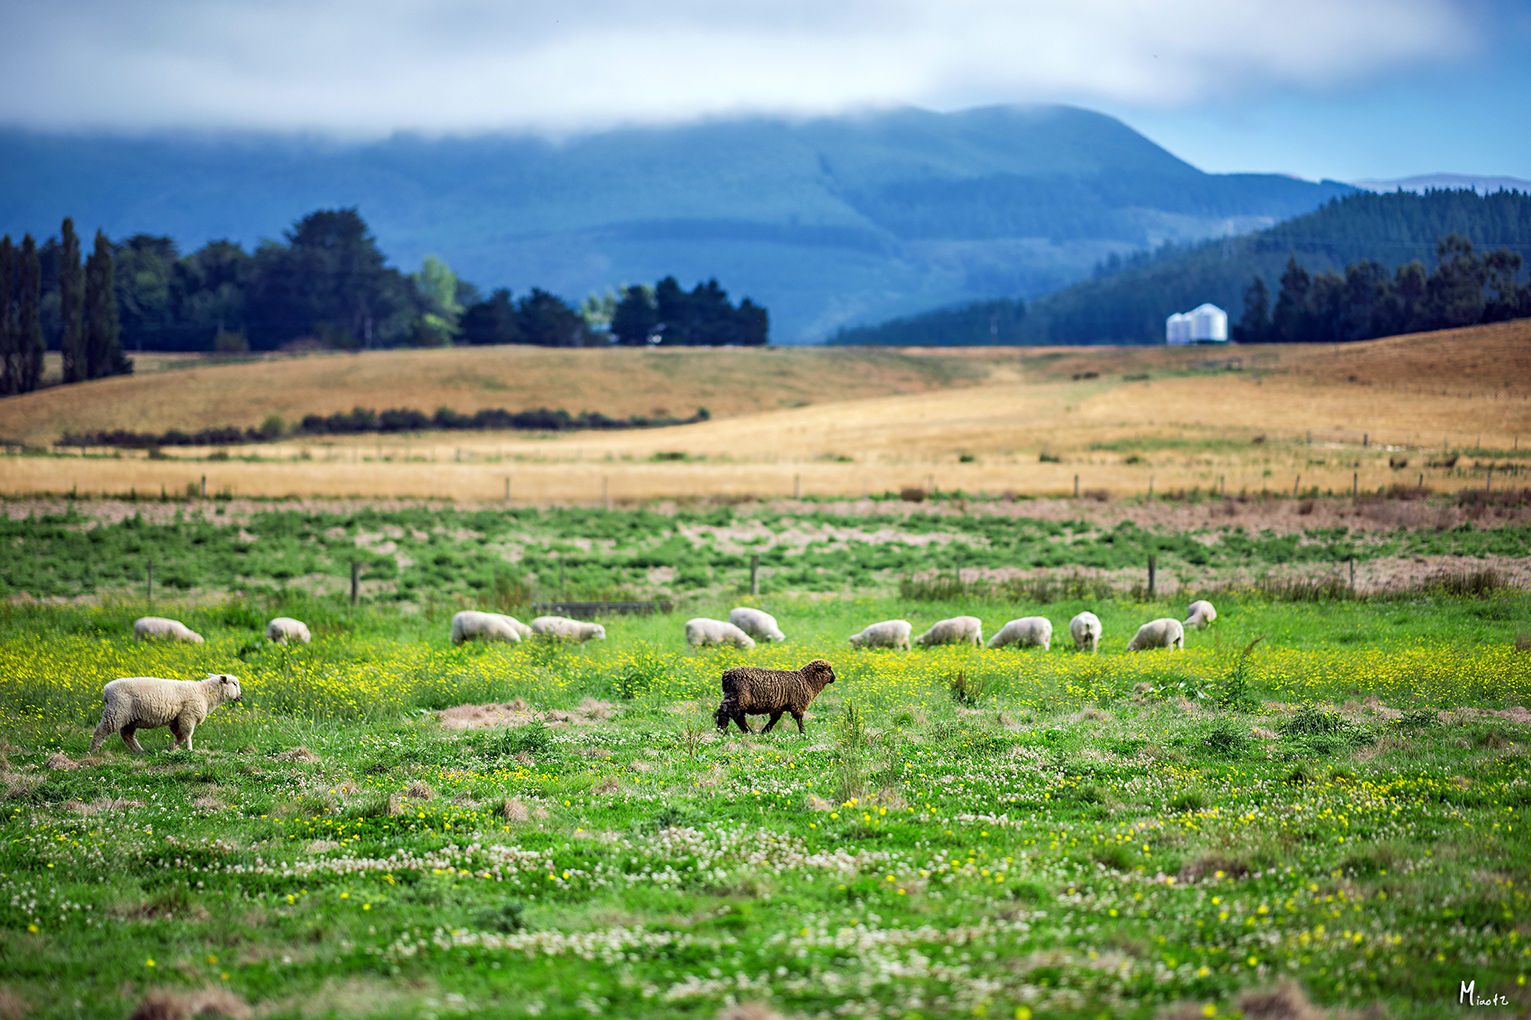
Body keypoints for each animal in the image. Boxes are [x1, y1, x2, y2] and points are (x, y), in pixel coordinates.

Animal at [86, 670, 240, 750]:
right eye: (234, 684)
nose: (241, 696)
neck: (205, 693)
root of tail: (107, 691)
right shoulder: (187, 716)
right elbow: (187, 735)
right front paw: (190, 750)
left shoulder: (176, 720)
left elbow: (180, 737)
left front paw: (172, 747)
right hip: (117, 712)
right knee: (101, 731)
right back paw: (94, 750)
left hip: (129, 717)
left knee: (126, 735)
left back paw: (139, 751)